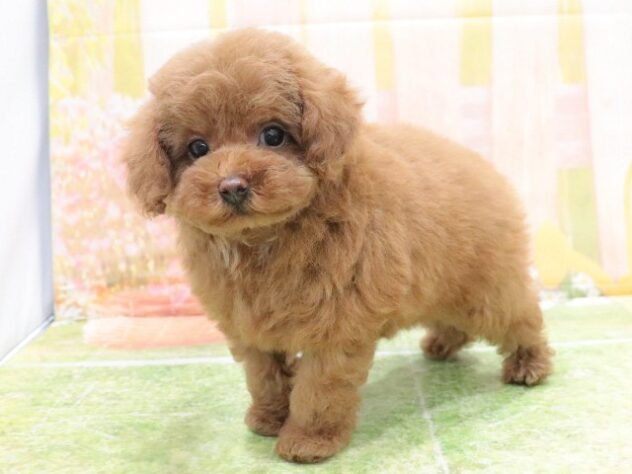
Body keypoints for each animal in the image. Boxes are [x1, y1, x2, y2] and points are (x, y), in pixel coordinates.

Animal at [123, 28, 553, 463]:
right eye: (197, 148)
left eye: (273, 135)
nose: (232, 186)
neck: (264, 239)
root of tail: (483, 166)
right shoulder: (249, 325)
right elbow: (264, 375)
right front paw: (267, 418)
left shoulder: (337, 323)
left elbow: (320, 388)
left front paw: (308, 441)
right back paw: (443, 344)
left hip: (484, 287)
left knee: (519, 315)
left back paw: (530, 365)